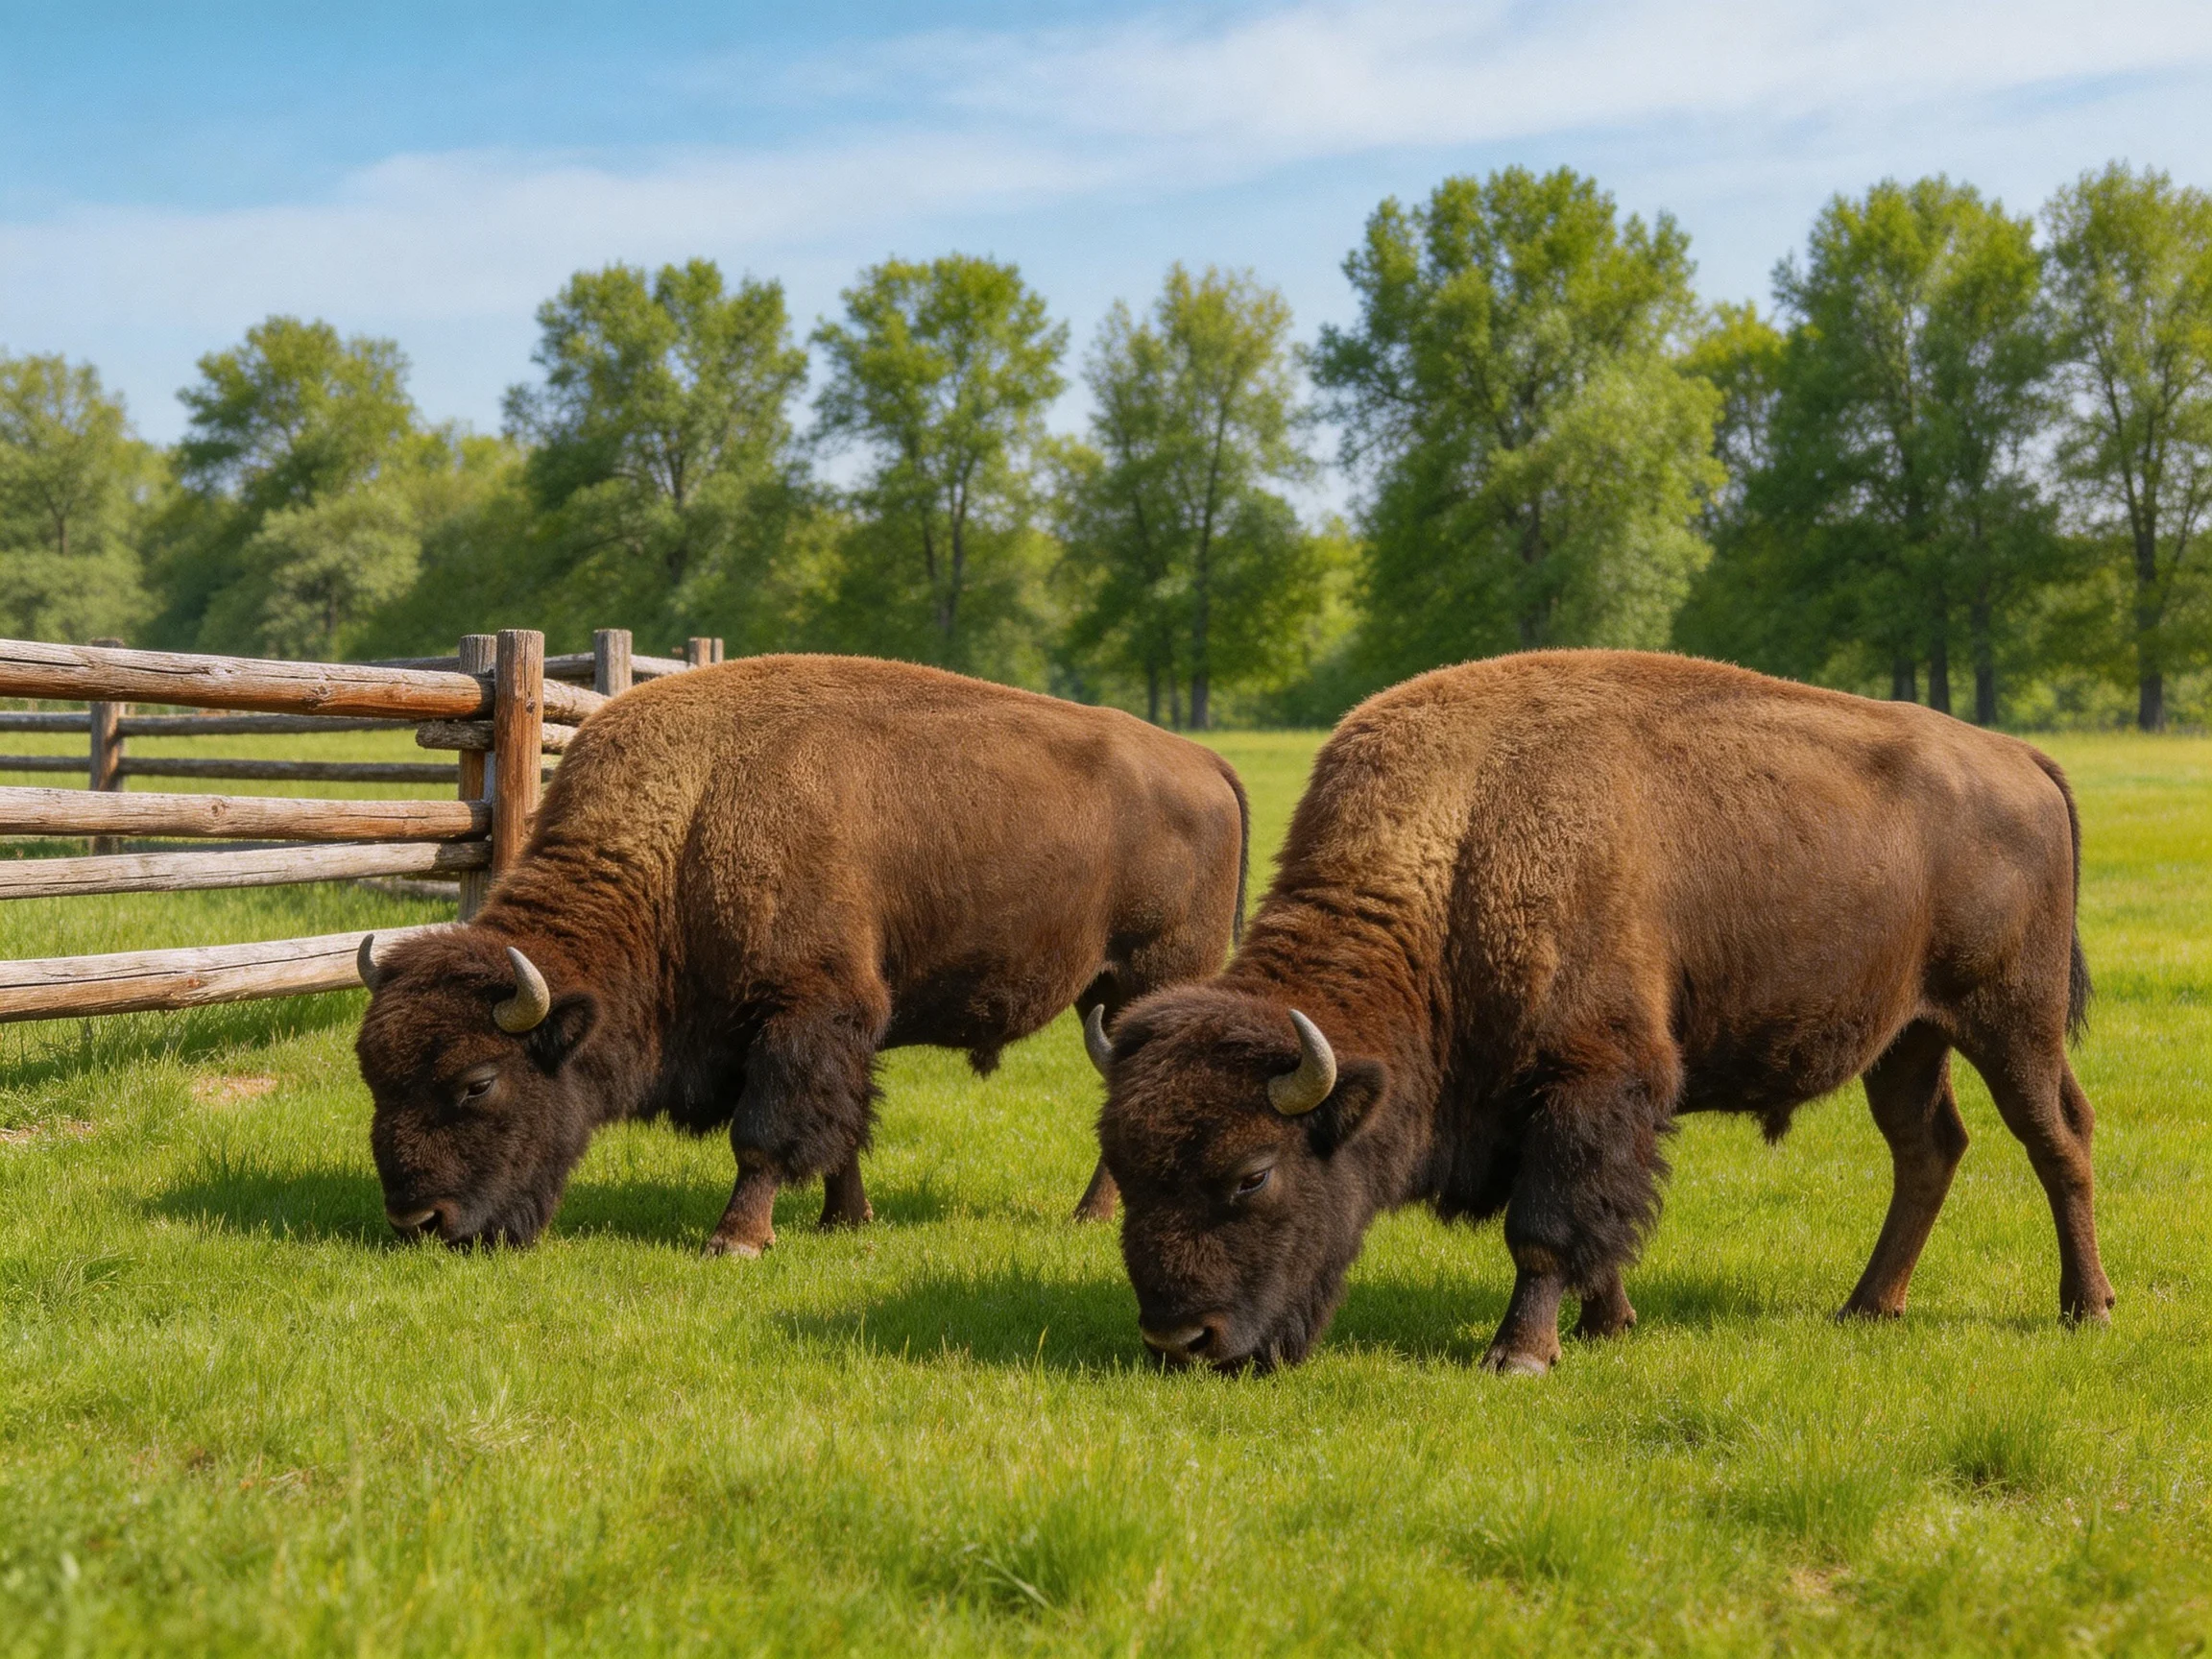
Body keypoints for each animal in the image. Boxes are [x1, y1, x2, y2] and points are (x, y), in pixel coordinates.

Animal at [357, 655, 1247, 1253]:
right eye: (372, 1074)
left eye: (478, 1082)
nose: (417, 1220)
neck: (689, 819)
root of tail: (1203, 761)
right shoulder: (846, 1026)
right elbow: (844, 1127)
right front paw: (845, 1220)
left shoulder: (805, 1012)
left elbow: (765, 1131)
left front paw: (736, 1239)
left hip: (1151, 980)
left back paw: (1090, 1216)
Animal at [1088, 651, 2111, 1373]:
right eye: (1126, 1169)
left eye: (1253, 1175)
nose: (1180, 1340)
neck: (1461, 839)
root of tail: (2021, 759)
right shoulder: (1583, 1102)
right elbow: (1600, 1222)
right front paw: (1608, 1324)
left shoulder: (1591, 1079)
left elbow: (1547, 1226)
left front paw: (1518, 1355)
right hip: (1908, 1037)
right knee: (1927, 1148)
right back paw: (1866, 1306)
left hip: (2010, 1020)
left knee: (2056, 1138)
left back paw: (2085, 1307)